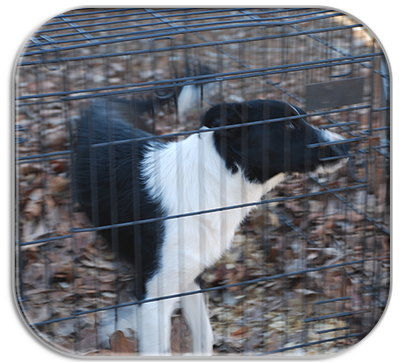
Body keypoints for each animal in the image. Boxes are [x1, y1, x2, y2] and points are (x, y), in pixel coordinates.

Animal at [74, 97, 346, 354]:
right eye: (290, 125)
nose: (346, 144)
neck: (215, 181)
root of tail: (100, 102)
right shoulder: (154, 296)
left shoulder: (191, 276)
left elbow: (205, 336)